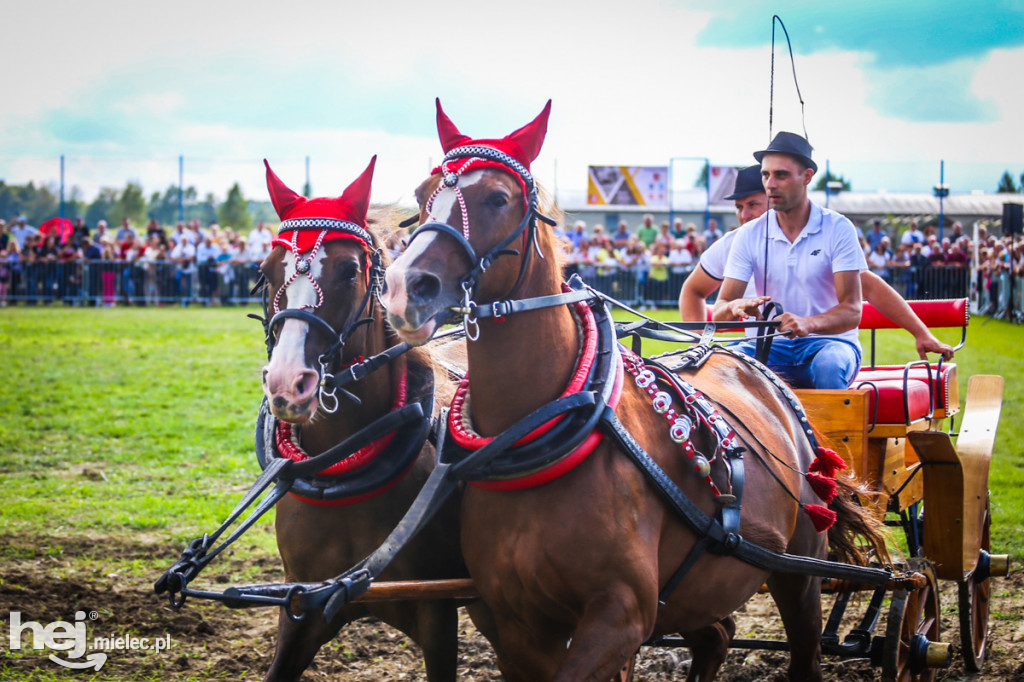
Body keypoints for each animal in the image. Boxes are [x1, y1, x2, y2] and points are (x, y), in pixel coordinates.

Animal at [380, 102, 884, 679]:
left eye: (497, 198)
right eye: (422, 194)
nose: (404, 288)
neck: (544, 427)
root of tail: (764, 370)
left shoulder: (619, 615)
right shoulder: (517, 625)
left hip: (798, 572)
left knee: (803, 647)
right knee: (716, 636)